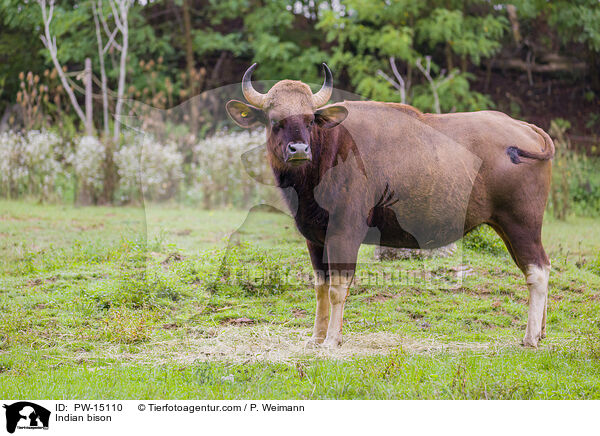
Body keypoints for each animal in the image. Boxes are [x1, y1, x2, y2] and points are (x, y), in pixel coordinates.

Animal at [225, 63, 552, 348]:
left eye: (309, 120)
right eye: (274, 121)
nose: (299, 149)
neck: (328, 150)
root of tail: (526, 129)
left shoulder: (345, 232)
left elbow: (338, 289)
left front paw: (332, 341)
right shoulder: (314, 238)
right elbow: (320, 288)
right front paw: (316, 338)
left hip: (521, 222)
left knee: (537, 270)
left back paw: (530, 337)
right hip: (505, 225)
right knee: (540, 267)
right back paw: (542, 331)